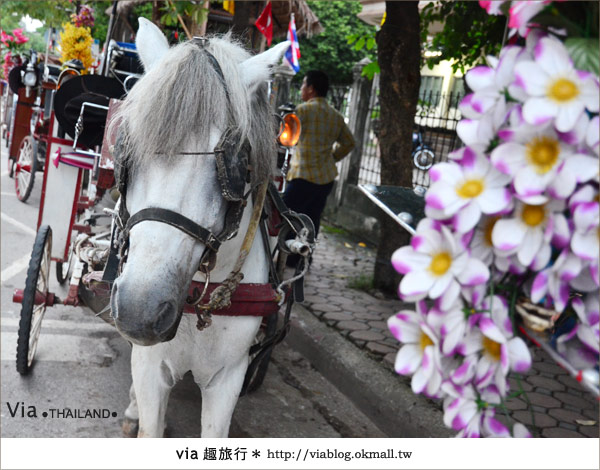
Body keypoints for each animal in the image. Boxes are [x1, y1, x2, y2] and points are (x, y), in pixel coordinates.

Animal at [111, 18, 292, 436]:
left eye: (234, 162)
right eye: (127, 150)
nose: (140, 310)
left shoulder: (229, 377)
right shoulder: (151, 366)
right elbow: (149, 425)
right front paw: (137, 410)